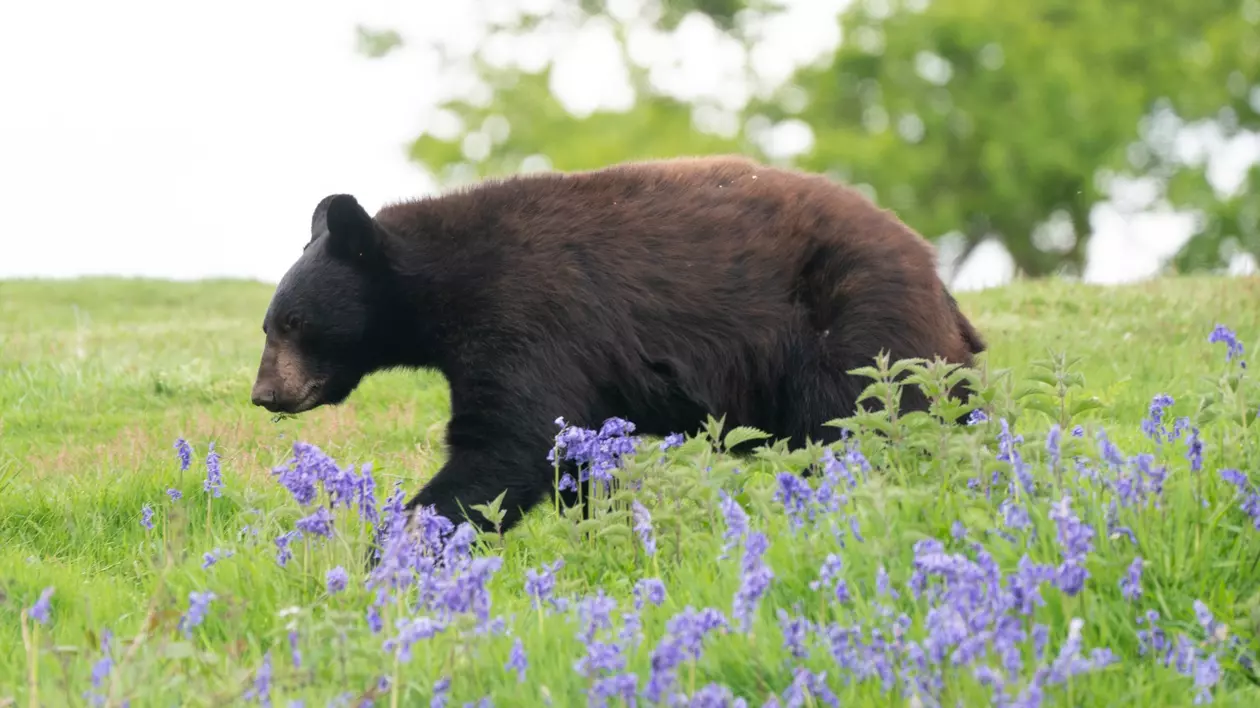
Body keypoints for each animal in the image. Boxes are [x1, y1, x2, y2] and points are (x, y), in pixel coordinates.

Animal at [250, 153, 982, 529]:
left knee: (864, 424)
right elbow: (572, 453)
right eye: (270, 323)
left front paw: (401, 548)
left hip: (855, 327)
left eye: (292, 322)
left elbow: (507, 444)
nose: (264, 394)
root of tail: (934, 274)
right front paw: (608, 526)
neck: (442, 280)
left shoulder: (526, 318)